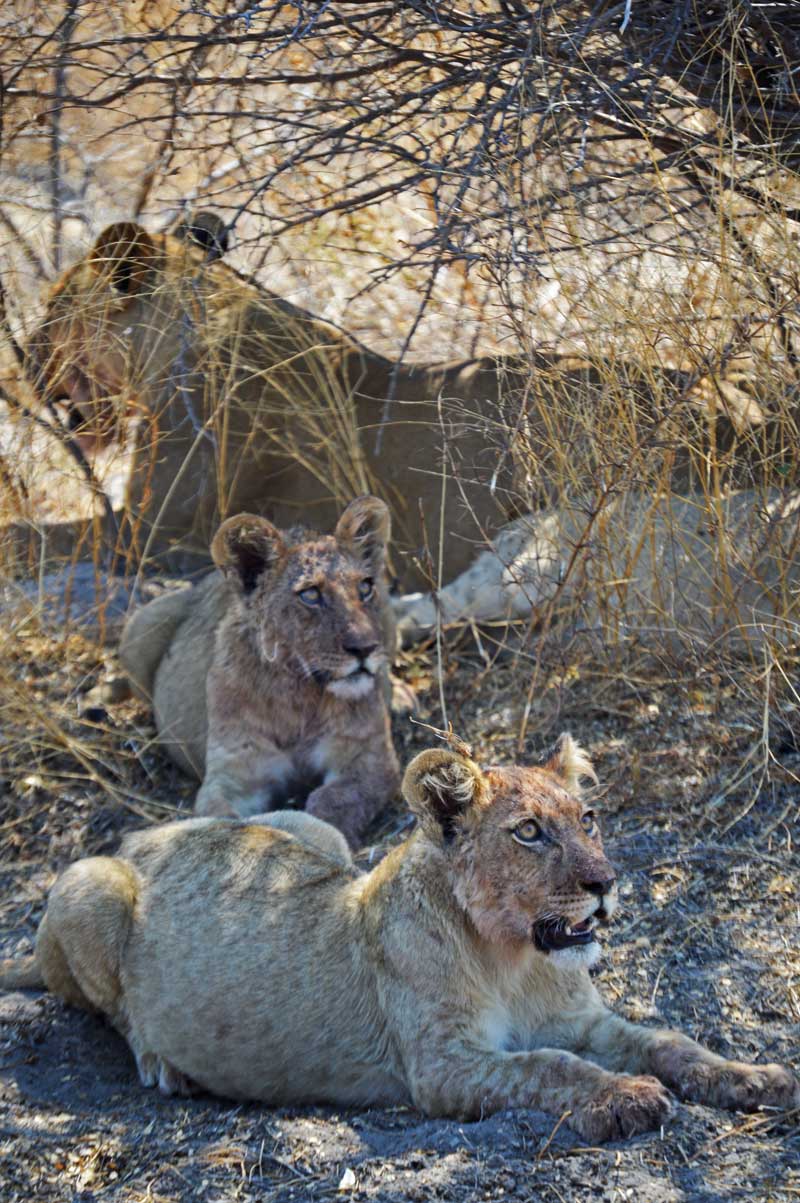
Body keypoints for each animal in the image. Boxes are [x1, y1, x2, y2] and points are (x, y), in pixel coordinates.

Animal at [1, 737, 796, 1142]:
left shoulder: (582, 1018)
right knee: (117, 1014)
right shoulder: (441, 1065)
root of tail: (144, 834)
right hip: (91, 887)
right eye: (529, 832)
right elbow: (550, 1066)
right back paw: (166, 1065)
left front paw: (754, 1076)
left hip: (314, 830)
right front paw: (627, 1095)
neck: (515, 957)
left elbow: (670, 1040)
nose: (605, 882)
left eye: (588, 818)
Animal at [119, 495, 399, 848]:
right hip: (140, 624)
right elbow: (222, 819)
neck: (299, 696)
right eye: (311, 594)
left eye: (364, 588)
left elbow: (332, 802)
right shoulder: (234, 772)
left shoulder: (370, 757)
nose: (365, 648)